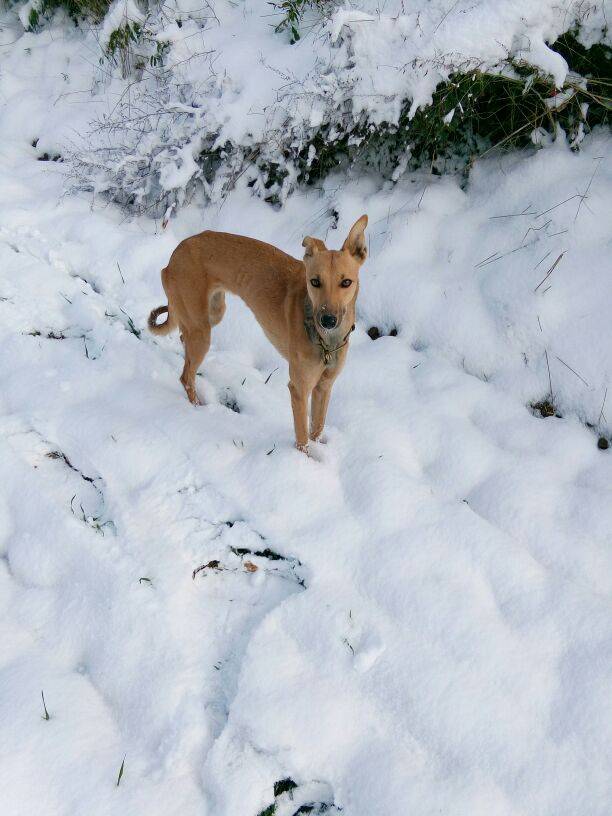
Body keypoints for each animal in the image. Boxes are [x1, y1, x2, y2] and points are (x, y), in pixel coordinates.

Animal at [148, 215, 368, 453]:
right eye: (315, 281)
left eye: (346, 282)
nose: (328, 321)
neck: (326, 342)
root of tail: (177, 251)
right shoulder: (299, 390)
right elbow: (302, 439)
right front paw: (304, 460)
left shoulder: (324, 387)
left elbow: (316, 429)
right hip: (201, 331)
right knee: (185, 377)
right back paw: (199, 408)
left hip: (212, 314)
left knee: (184, 342)